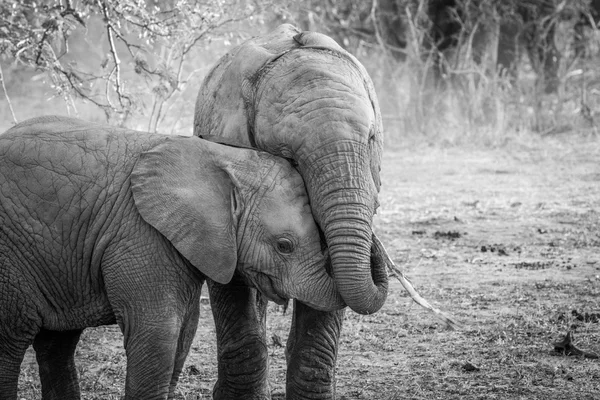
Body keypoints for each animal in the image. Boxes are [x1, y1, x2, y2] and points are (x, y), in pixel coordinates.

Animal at [0, 115, 346, 400]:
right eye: (284, 245)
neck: (225, 160)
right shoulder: (141, 234)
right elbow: (158, 333)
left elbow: (184, 332)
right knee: (12, 339)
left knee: (56, 345)